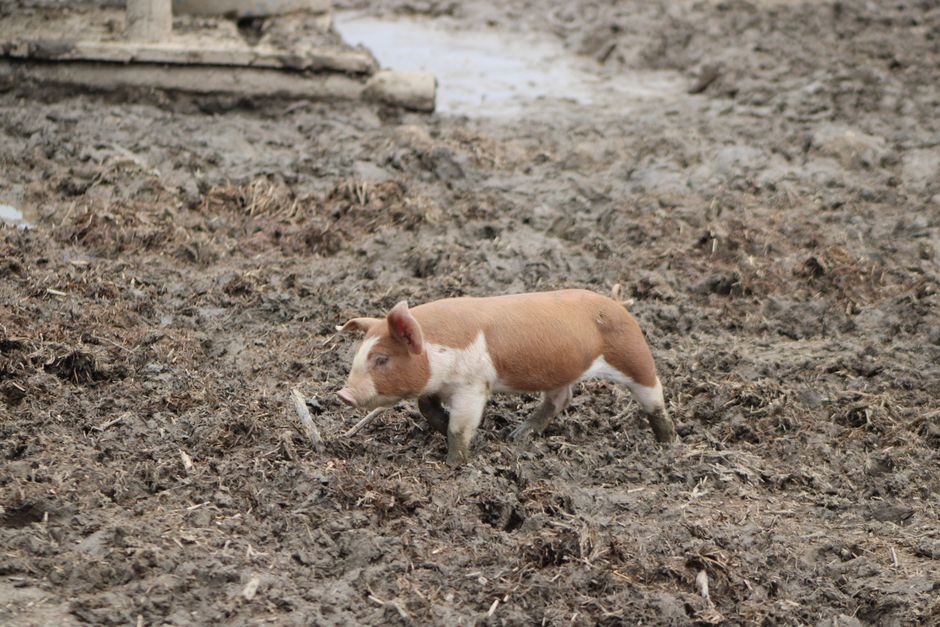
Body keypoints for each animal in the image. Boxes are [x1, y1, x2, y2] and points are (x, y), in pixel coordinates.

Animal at [337, 289, 676, 465]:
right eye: (358, 355)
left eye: (381, 359)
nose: (343, 395)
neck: (436, 347)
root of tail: (618, 305)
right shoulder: (435, 386)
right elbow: (427, 408)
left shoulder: (473, 387)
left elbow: (461, 428)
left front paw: (454, 464)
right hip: (560, 373)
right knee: (561, 398)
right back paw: (518, 436)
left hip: (633, 354)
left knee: (655, 394)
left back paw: (667, 443)